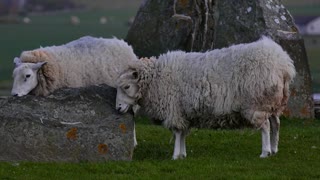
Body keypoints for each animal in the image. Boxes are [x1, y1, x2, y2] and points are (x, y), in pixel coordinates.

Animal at [114, 36, 296, 159]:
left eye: (126, 86)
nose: (118, 108)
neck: (155, 79)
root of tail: (283, 64)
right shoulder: (184, 112)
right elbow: (183, 133)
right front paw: (183, 154)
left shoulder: (174, 110)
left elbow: (178, 133)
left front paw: (175, 155)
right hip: (273, 103)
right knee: (275, 124)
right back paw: (274, 149)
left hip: (257, 104)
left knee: (265, 126)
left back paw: (265, 152)